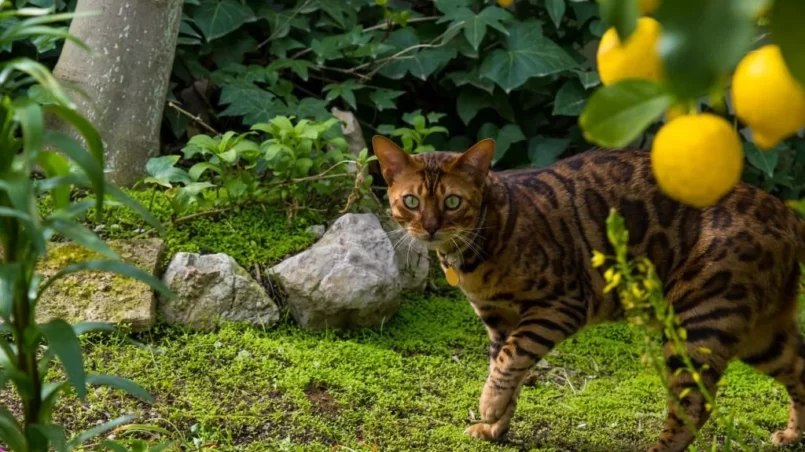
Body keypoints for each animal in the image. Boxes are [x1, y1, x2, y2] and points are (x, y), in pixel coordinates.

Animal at [372, 136, 805, 450]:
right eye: (411, 201)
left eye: (452, 201)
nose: (430, 228)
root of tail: (785, 211)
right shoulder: (498, 321)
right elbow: (506, 369)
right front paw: (495, 427)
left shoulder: (561, 305)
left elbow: (511, 359)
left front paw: (489, 407)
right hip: (761, 335)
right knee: (800, 369)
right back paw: (792, 435)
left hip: (698, 320)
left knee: (693, 405)